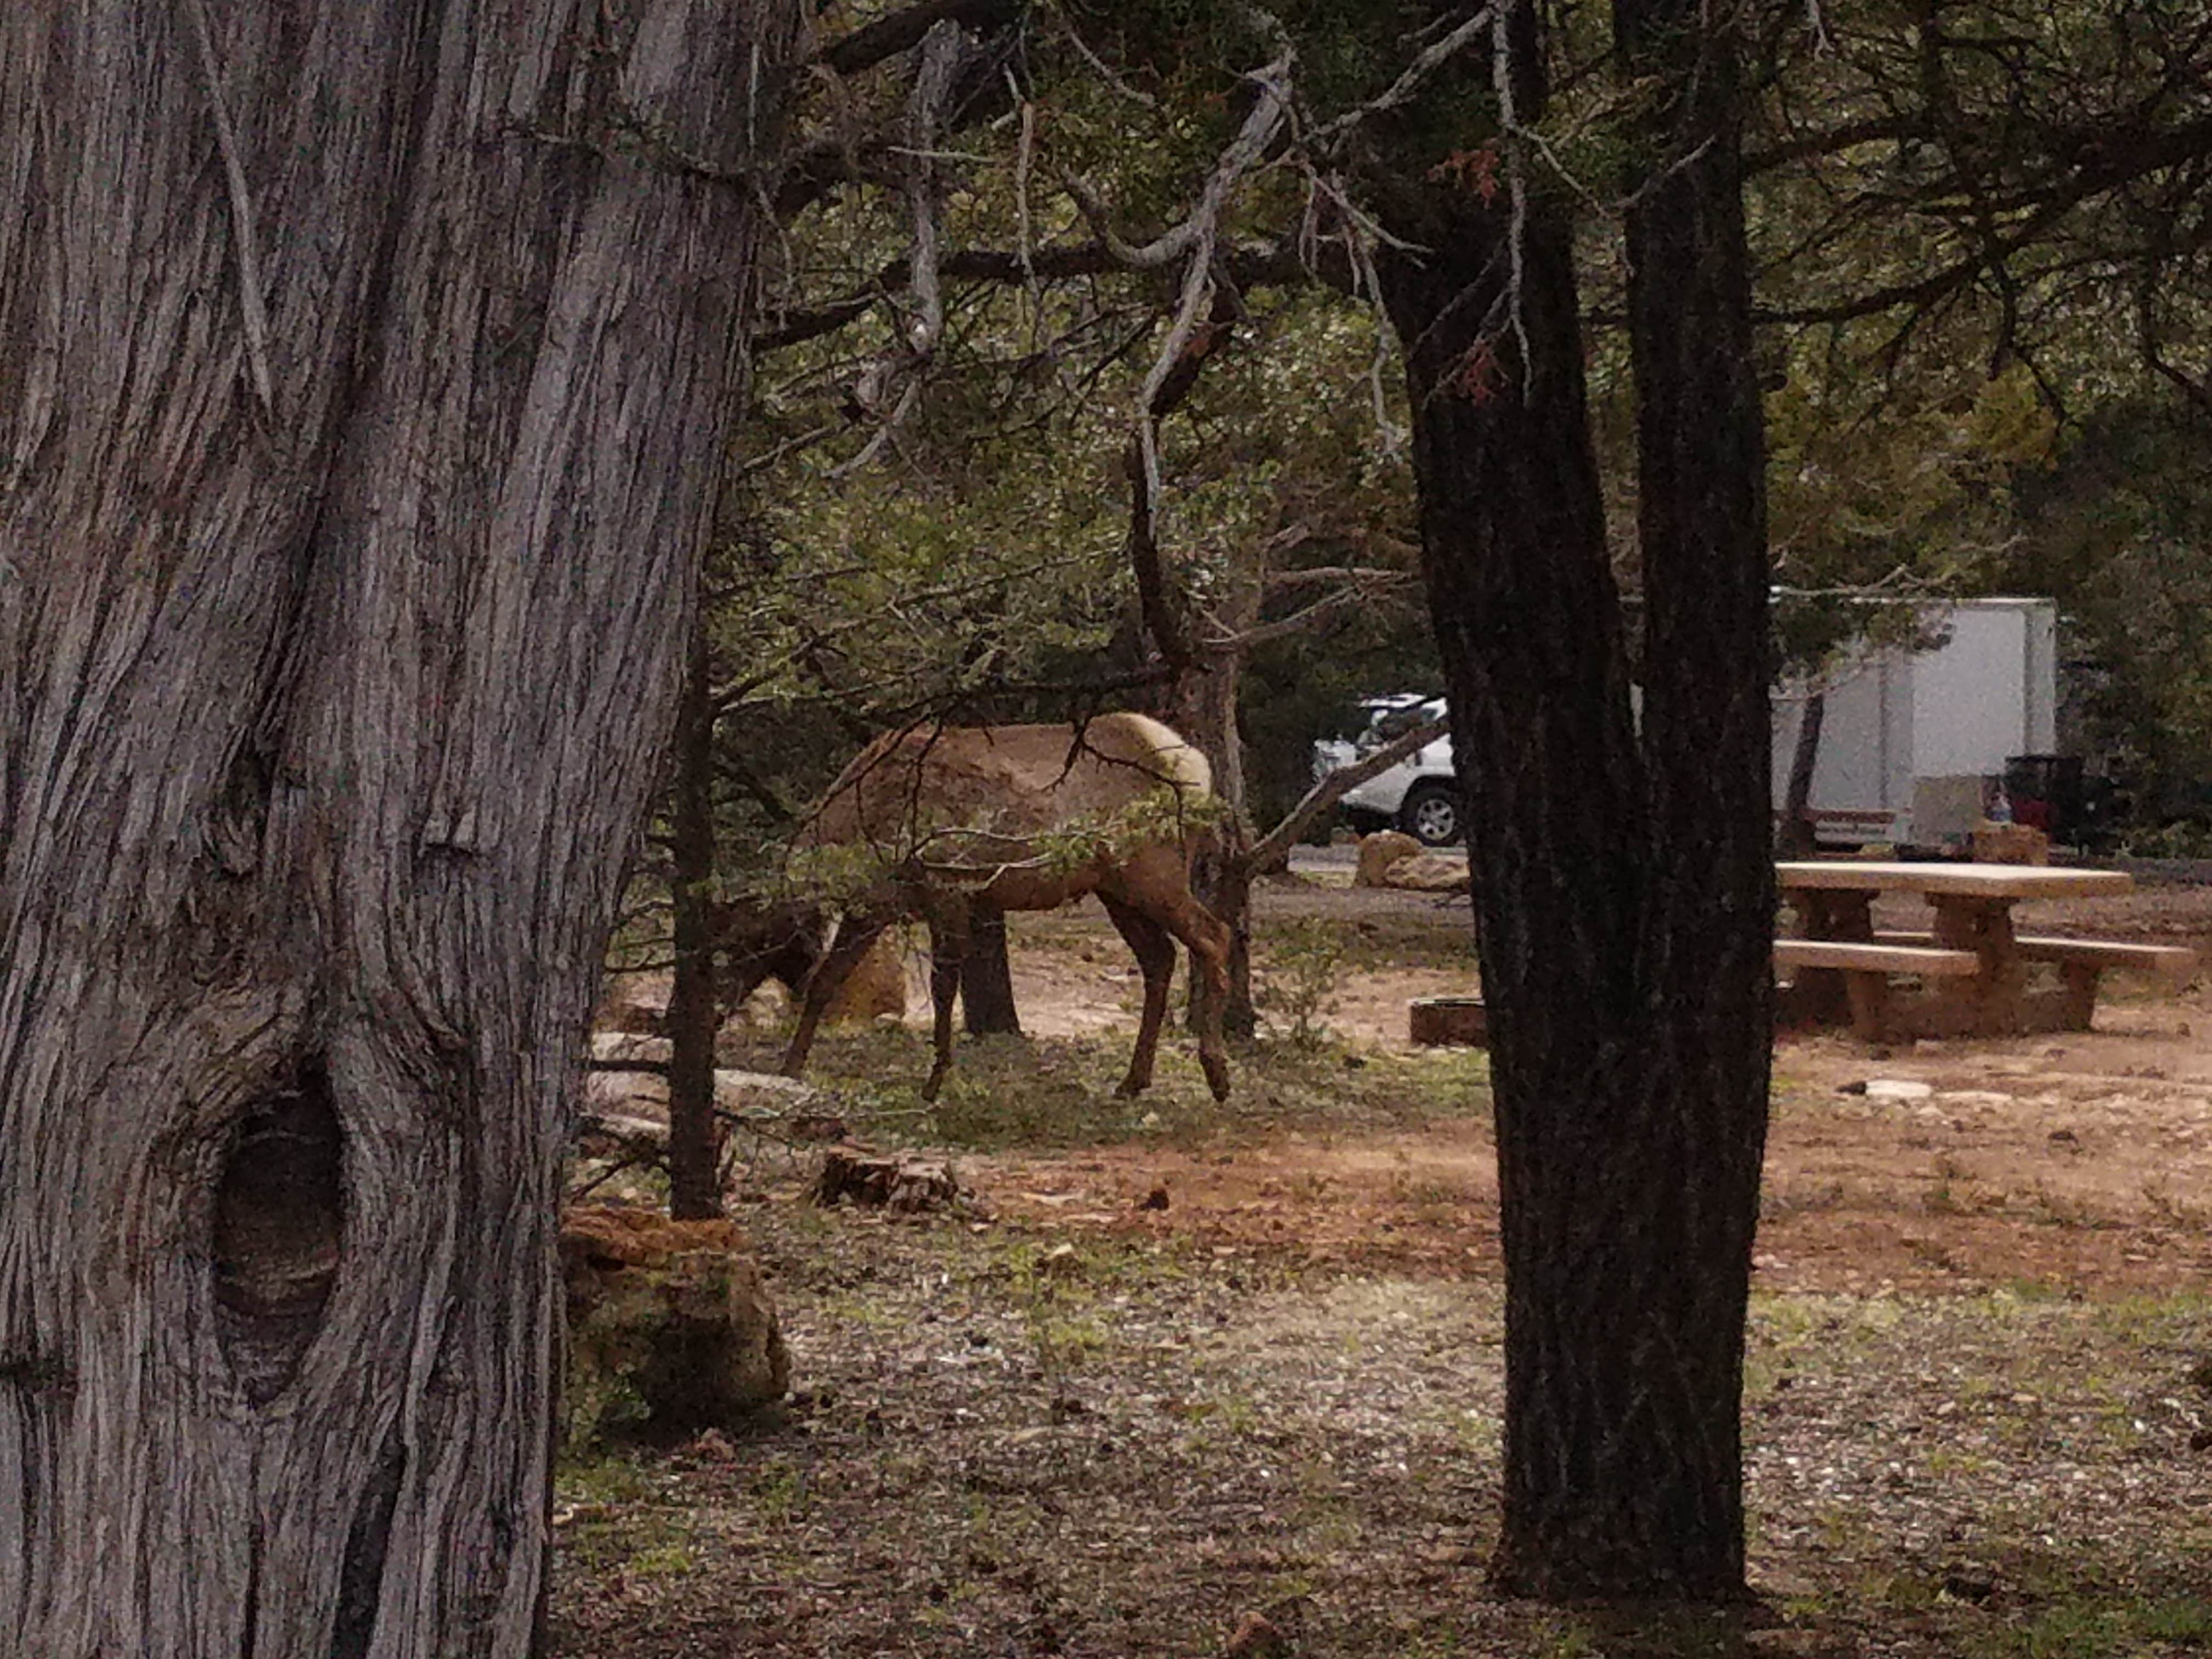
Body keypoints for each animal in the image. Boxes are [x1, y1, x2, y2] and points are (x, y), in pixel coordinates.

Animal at [779, 713, 1233, 1102]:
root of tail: (1199, 772)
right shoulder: (876, 907)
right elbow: (827, 979)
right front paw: (790, 1068)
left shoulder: (948, 887)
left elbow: (944, 988)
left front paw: (935, 1080)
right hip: (1116, 891)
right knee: (1160, 958)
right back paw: (1133, 1081)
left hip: (1154, 873)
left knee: (1213, 935)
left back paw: (1217, 1073)